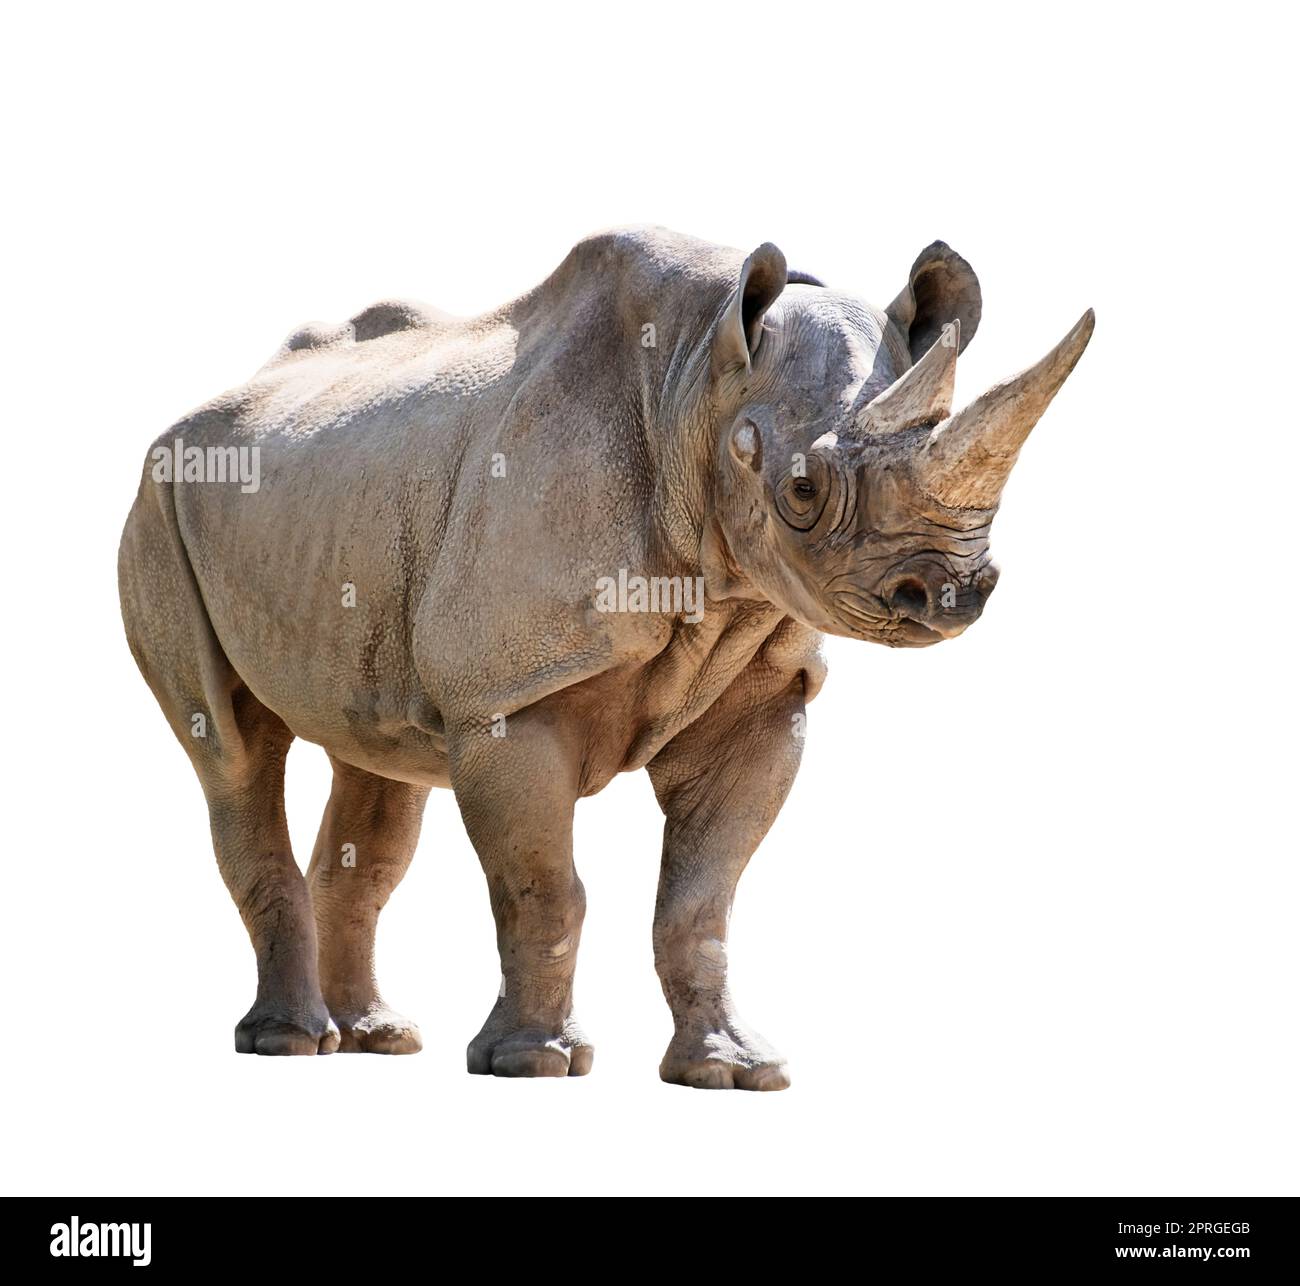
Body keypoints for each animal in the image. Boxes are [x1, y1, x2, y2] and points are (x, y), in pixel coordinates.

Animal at [118, 227, 1092, 1088]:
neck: (699, 384)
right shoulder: (509, 694)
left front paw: (735, 1071)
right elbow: (543, 886)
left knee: (378, 772)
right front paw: (533, 1064)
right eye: (803, 491)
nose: (951, 593)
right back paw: (286, 1043)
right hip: (159, 502)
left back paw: (376, 1039)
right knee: (233, 752)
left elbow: (701, 901)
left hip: (339, 507)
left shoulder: (765, 690)